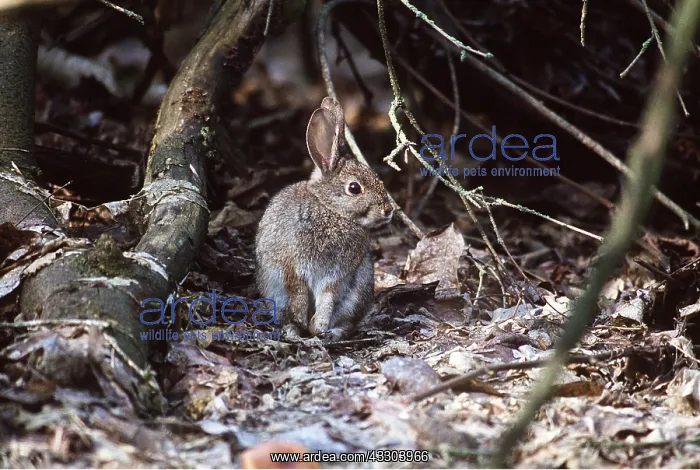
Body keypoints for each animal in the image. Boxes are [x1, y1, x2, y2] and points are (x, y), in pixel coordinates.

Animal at [255, 97, 394, 342]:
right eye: (354, 188)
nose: (388, 210)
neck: (331, 210)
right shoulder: (290, 265)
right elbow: (298, 291)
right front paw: (302, 321)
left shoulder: (337, 276)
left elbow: (327, 298)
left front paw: (317, 327)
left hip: (359, 289)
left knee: (349, 322)